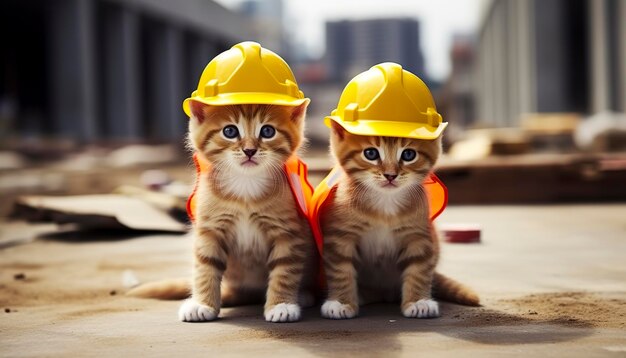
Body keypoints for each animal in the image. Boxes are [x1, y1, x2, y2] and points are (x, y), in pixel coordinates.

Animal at [178, 100, 316, 322]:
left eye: (267, 131)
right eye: (230, 131)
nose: (249, 150)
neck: (245, 186)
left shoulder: (288, 232)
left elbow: (285, 269)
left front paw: (281, 305)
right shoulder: (209, 229)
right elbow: (205, 266)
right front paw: (202, 304)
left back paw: (302, 295)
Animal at [320, 122, 476, 318]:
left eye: (408, 155)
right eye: (371, 153)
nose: (390, 175)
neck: (385, 203)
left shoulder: (418, 235)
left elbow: (419, 269)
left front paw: (418, 301)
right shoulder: (340, 236)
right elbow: (340, 269)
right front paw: (341, 302)